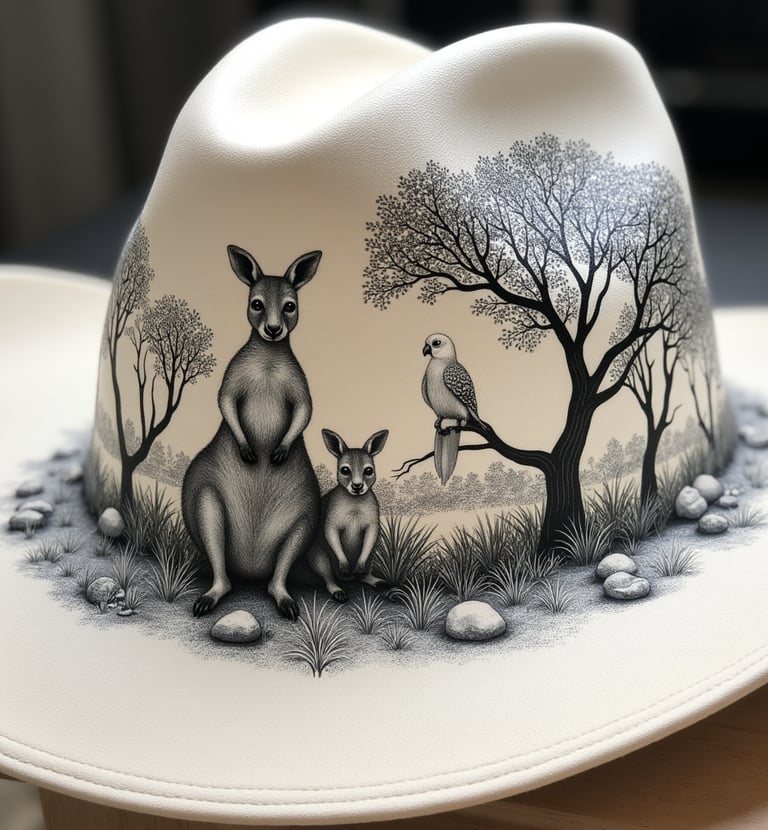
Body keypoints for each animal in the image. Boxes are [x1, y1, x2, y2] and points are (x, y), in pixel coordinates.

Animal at [181, 244, 322, 621]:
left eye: (290, 306)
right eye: (257, 303)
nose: (273, 330)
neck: (268, 359)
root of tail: (251, 568)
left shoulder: (299, 385)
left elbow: (304, 411)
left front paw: (279, 451)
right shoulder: (233, 376)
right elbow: (225, 401)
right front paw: (247, 449)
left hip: (303, 517)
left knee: (279, 572)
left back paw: (285, 600)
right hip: (206, 499)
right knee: (219, 561)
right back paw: (211, 595)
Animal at [307, 429, 389, 601]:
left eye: (369, 471)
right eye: (345, 470)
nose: (357, 486)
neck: (355, 501)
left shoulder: (373, 516)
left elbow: (372, 532)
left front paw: (358, 566)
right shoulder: (332, 515)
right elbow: (330, 532)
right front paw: (344, 564)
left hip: (372, 554)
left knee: (364, 571)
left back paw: (374, 580)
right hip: (319, 554)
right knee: (327, 575)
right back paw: (338, 590)